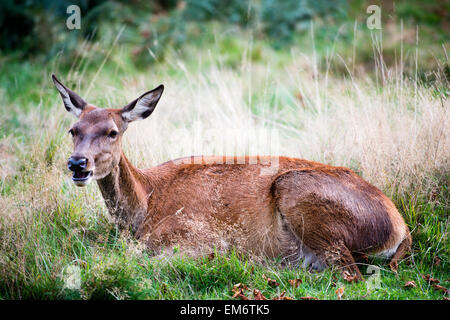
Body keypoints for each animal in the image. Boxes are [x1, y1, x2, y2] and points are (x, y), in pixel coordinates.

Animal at [51, 75, 412, 280]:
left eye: (112, 131)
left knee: (350, 275)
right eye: (73, 129)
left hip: (297, 191)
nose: (78, 164)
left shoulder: (199, 236)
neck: (145, 206)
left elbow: (144, 260)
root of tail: (400, 227)